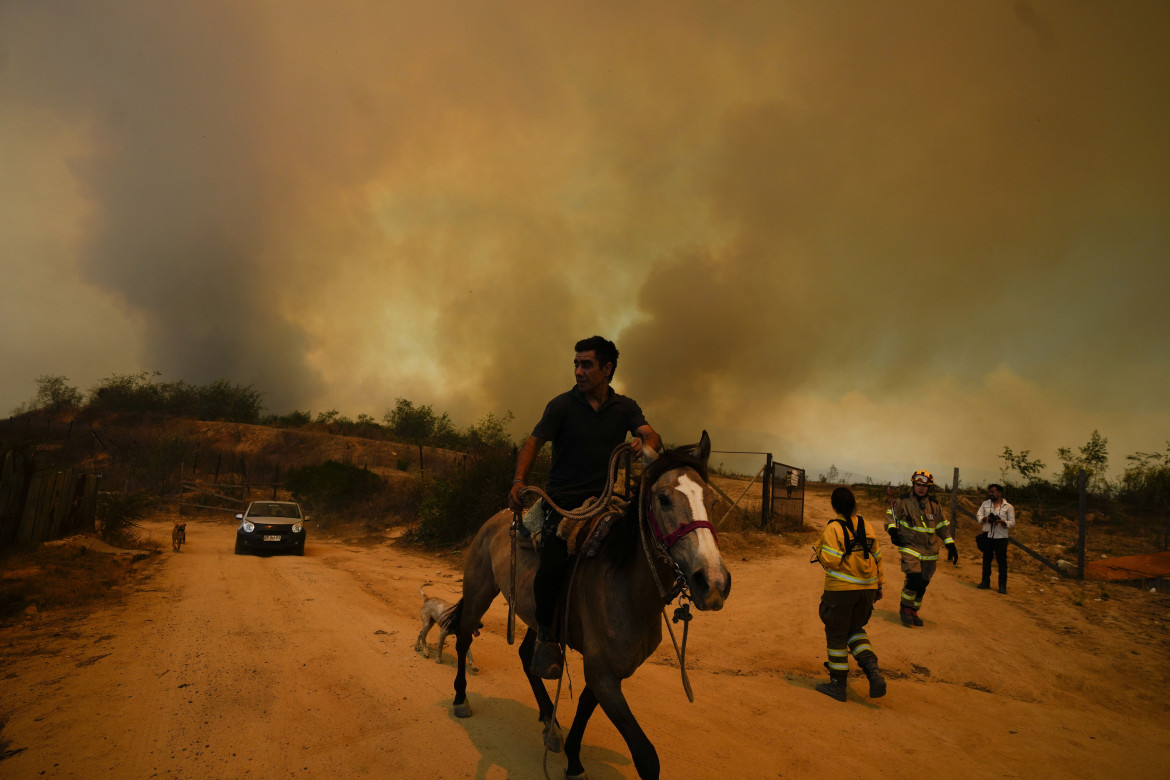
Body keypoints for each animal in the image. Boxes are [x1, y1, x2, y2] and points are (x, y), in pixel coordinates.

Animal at [439, 432, 730, 780]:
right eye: (664, 499)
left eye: (712, 500)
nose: (713, 582)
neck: (626, 586)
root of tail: (498, 518)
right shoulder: (602, 672)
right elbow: (646, 756)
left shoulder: (608, 671)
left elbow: (583, 709)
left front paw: (574, 760)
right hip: (479, 592)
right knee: (463, 638)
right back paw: (460, 698)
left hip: (539, 618)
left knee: (528, 657)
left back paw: (549, 723)